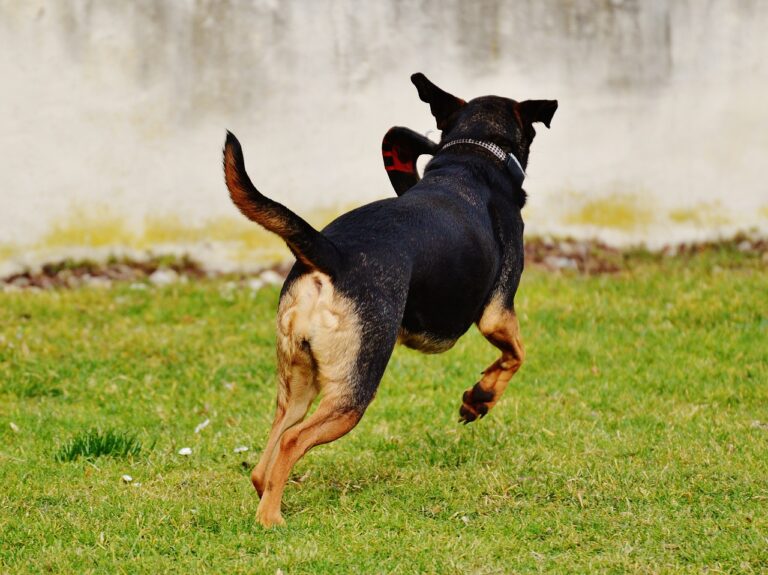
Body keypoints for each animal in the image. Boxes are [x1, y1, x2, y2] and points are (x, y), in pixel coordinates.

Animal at [224, 72, 560, 528]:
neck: (473, 155)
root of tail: (333, 254)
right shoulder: (497, 312)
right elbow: (516, 355)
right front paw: (479, 399)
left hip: (299, 381)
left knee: (267, 457)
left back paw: (268, 498)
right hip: (352, 394)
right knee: (293, 440)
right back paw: (270, 519)